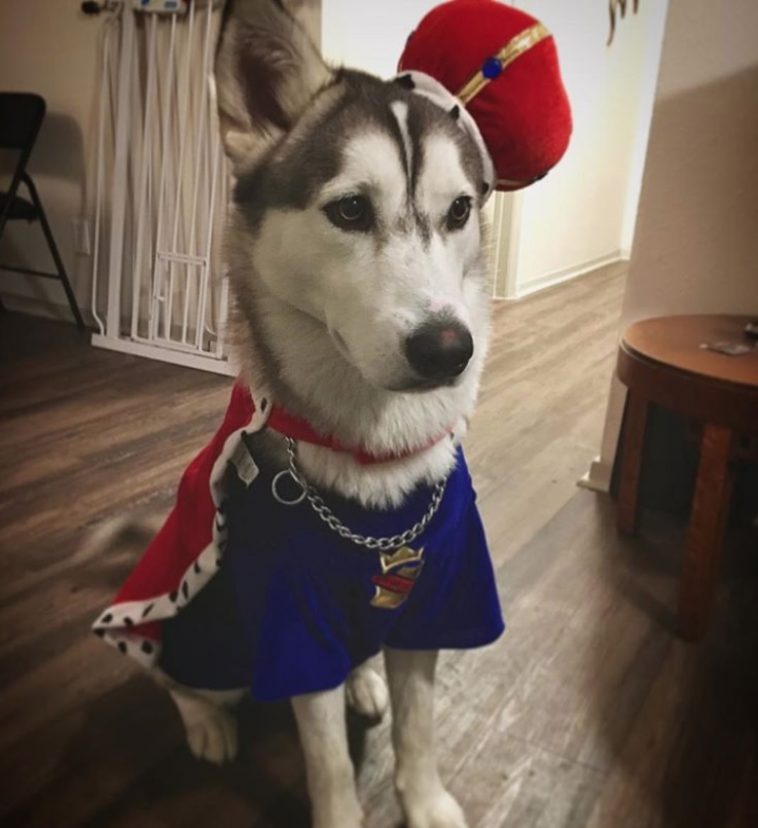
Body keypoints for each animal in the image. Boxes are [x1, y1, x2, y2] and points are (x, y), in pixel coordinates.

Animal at [159, 0, 492, 824]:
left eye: (460, 210)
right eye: (349, 209)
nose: (449, 348)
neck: (378, 452)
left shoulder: (436, 597)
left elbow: (419, 725)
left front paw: (424, 800)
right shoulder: (293, 627)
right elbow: (330, 761)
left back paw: (364, 680)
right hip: (209, 634)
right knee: (174, 674)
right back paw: (206, 722)